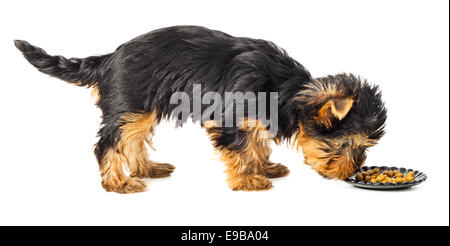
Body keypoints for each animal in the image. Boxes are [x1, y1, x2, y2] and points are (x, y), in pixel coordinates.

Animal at [14, 25, 386, 194]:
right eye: (347, 145)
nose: (353, 172)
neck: (287, 91)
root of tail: (109, 58)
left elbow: (256, 143)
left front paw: (264, 168)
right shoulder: (233, 117)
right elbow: (241, 148)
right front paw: (248, 179)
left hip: (142, 107)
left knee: (133, 138)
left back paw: (147, 169)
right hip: (129, 103)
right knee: (109, 143)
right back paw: (118, 183)